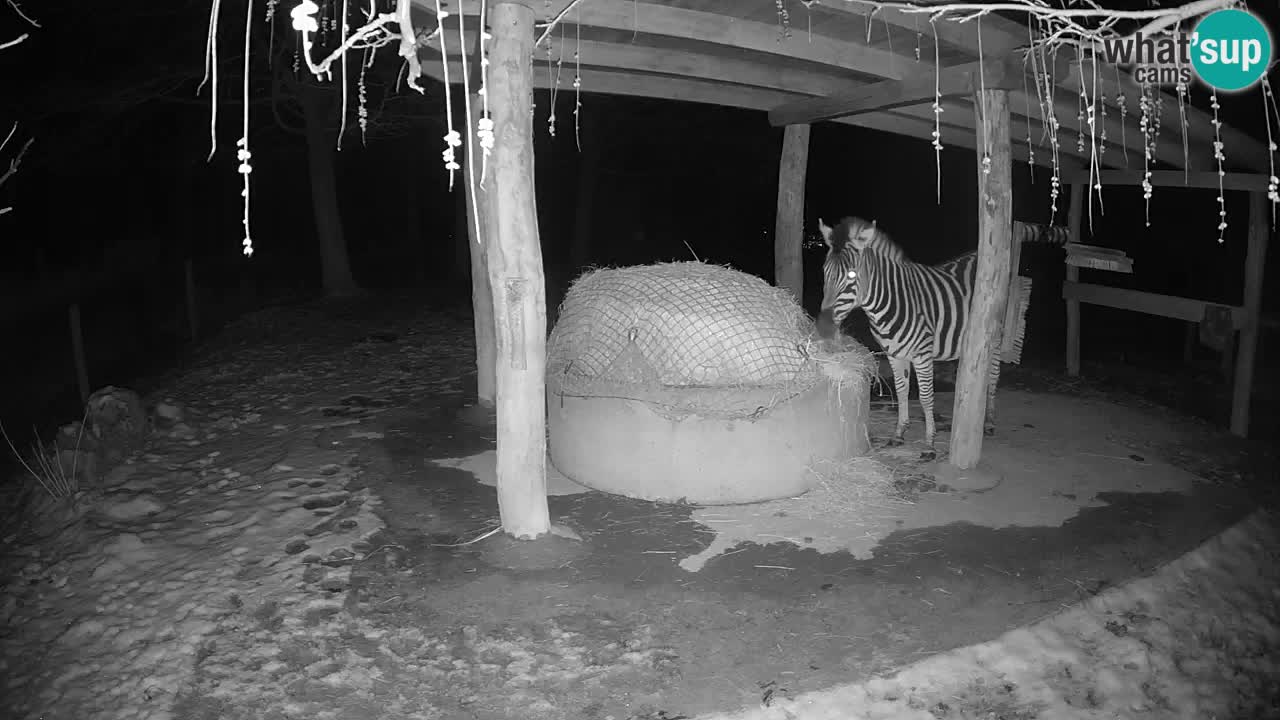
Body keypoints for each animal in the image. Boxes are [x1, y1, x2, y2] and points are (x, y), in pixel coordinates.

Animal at [819, 215, 1059, 456]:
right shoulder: (894, 353)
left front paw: (930, 444)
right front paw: (899, 433)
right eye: (824, 271)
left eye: (851, 275)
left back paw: (989, 422)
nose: (823, 329)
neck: (888, 302)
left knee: (993, 376)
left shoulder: (922, 354)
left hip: (996, 335)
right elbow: (901, 391)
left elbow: (925, 397)